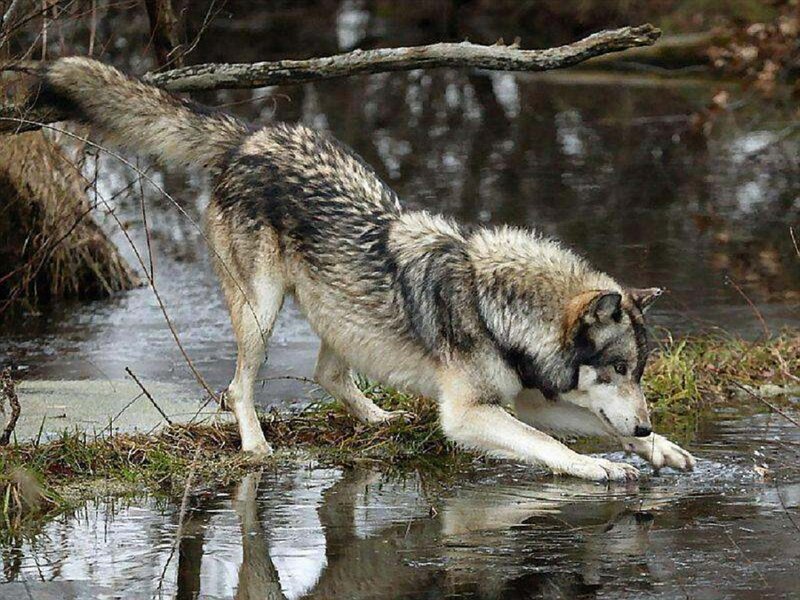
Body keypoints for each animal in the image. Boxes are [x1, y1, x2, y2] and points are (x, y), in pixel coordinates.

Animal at [28, 57, 695, 480]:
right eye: (618, 369)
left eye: (640, 373)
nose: (645, 427)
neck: (495, 306)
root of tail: (248, 135)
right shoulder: (469, 414)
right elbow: (549, 442)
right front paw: (599, 466)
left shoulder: (520, 399)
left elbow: (579, 422)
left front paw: (662, 451)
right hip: (262, 312)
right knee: (238, 388)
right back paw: (257, 446)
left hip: (342, 313)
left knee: (327, 374)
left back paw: (378, 417)